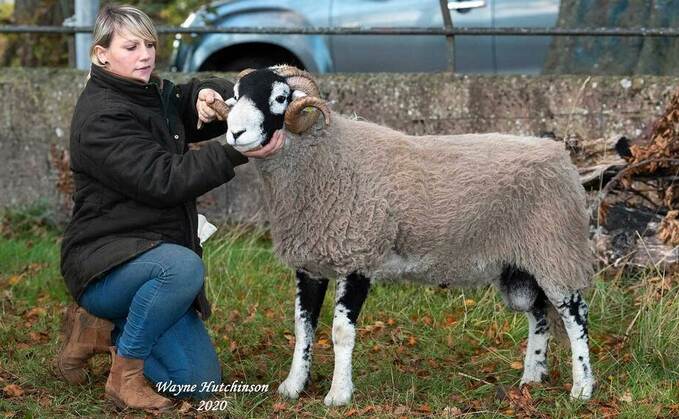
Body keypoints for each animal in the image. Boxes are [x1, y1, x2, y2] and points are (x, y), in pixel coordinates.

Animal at [210, 66, 596, 406]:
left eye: (280, 97)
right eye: (235, 96)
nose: (235, 134)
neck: (325, 157)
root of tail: (560, 155)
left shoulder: (358, 256)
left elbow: (341, 332)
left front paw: (338, 395)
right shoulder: (311, 263)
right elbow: (303, 326)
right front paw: (293, 386)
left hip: (556, 248)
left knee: (574, 315)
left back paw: (582, 388)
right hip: (520, 266)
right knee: (539, 313)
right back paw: (532, 377)